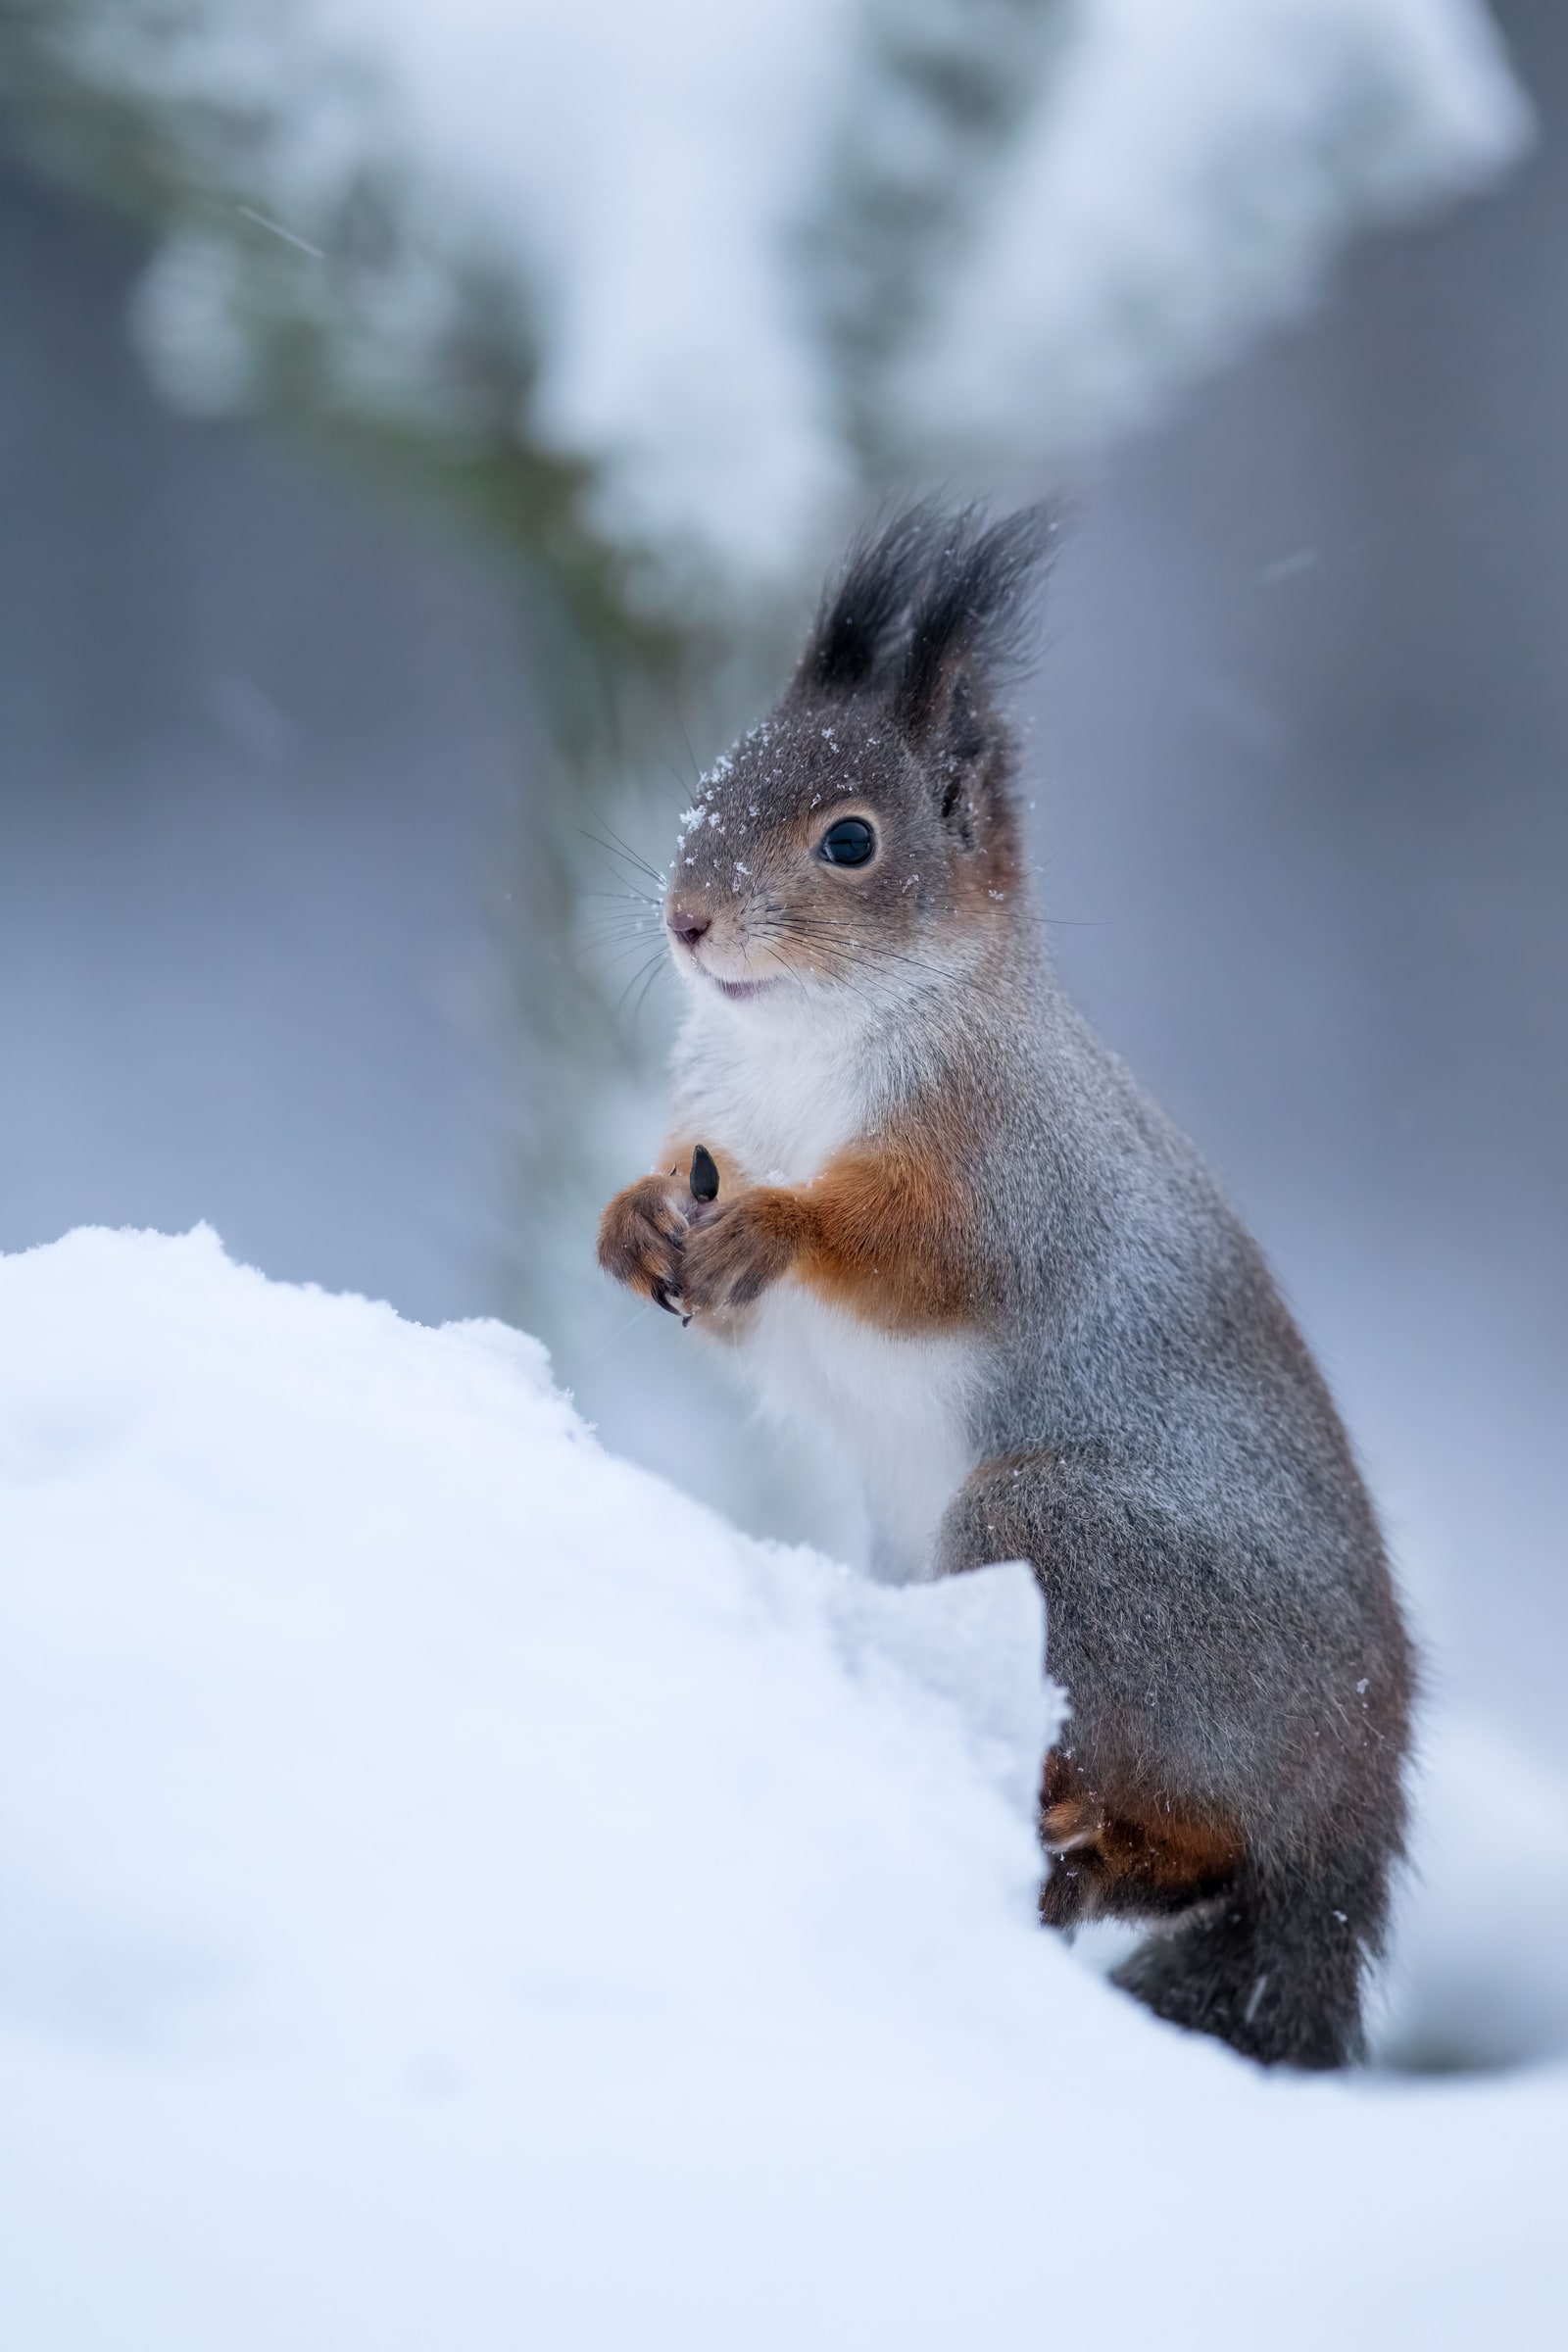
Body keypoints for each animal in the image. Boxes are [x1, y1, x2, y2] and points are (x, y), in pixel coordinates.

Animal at [598, 503, 1415, 2069]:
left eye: (851, 841)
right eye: (715, 779)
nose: (687, 918)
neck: (802, 1052)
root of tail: (1353, 1807)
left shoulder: (1007, 1170)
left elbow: (908, 1253)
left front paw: (778, 1221)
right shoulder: (714, 1131)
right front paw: (630, 1224)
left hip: (1075, 1557)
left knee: (1200, 1832)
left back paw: (1106, 1833)